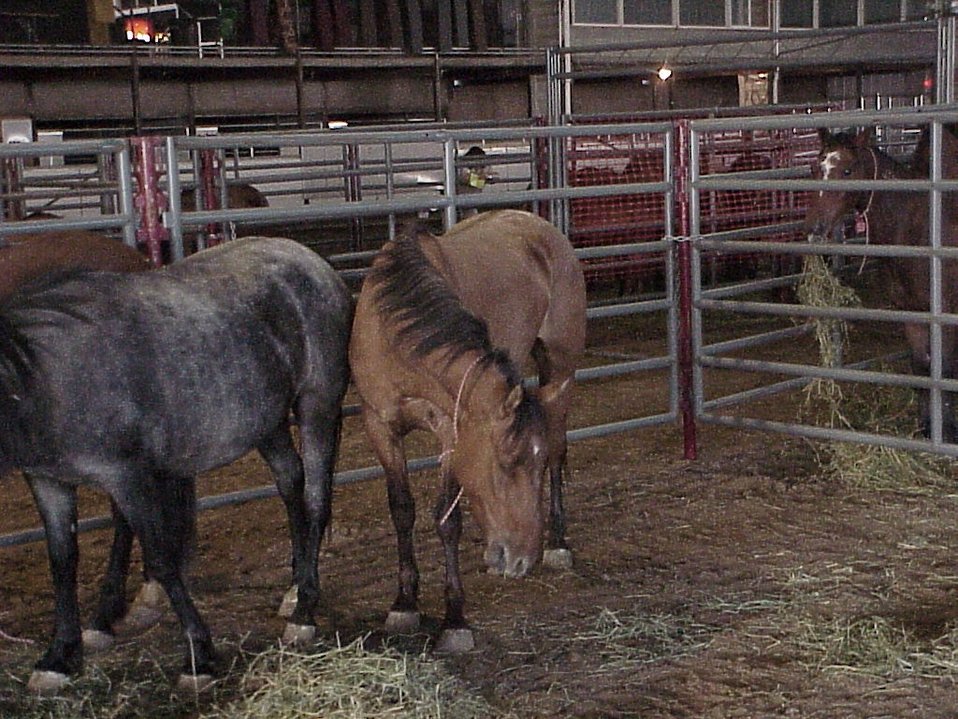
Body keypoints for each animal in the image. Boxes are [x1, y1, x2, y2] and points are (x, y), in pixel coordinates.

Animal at [1, 236, 353, 693]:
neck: (42, 375)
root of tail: (315, 263)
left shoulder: (127, 477)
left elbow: (161, 557)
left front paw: (199, 655)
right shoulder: (48, 481)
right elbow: (62, 563)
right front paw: (59, 656)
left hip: (317, 405)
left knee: (315, 499)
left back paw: (304, 611)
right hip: (267, 421)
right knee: (290, 482)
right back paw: (294, 587)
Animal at [349, 209, 586, 652]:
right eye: (507, 461)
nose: (521, 560)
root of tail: (539, 226)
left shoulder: (449, 432)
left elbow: (447, 518)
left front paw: (454, 619)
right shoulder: (380, 425)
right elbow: (401, 510)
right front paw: (404, 602)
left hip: (559, 369)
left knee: (559, 448)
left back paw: (559, 543)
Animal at [803, 127, 958, 441]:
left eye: (847, 170)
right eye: (815, 167)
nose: (815, 228)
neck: (917, 231)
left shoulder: (944, 315)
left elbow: (945, 371)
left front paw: (947, 434)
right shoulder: (912, 313)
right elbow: (922, 369)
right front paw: (927, 429)